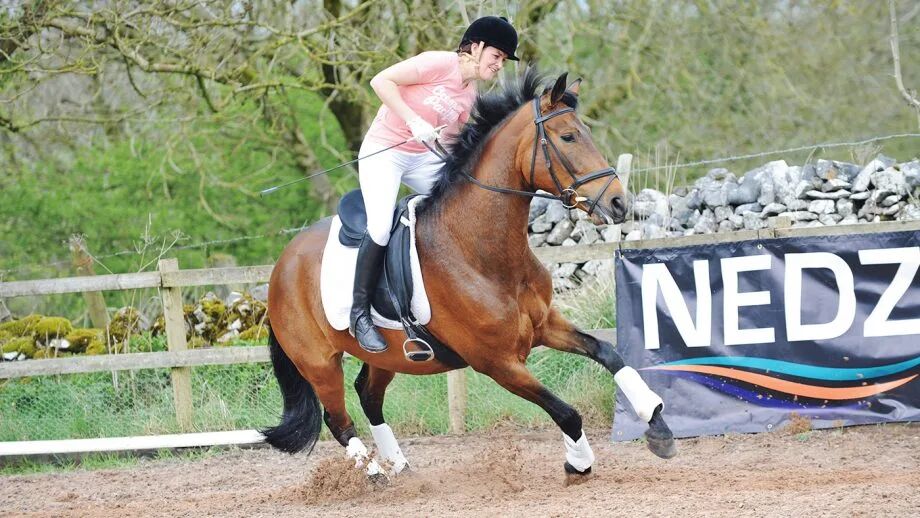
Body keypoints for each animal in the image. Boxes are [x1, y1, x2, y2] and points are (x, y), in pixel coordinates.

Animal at [263, 68, 676, 479]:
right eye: (568, 136)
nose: (620, 202)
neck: (483, 254)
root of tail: (282, 263)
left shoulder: (545, 326)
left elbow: (610, 353)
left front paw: (656, 422)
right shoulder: (498, 363)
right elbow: (566, 412)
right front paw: (578, 462)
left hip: (388, 357)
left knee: (368, 395)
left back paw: (401, 468)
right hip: (319, 364)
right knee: (338, 419)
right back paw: (375, 475)